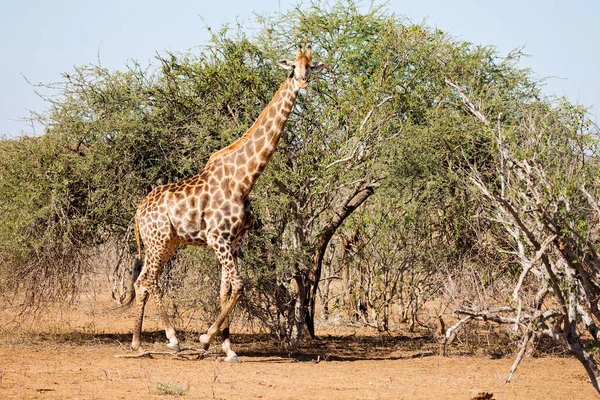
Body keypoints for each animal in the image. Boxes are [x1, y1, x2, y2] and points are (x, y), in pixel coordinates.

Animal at [127, 45, 324, 360]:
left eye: (311, 66)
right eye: (293, 66)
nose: (303, 82)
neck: (244, 179)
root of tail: (137, 212)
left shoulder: (233, 241)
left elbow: (225, 289)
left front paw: (228, 347)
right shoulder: (216, 238)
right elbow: (240, 286)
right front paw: (206, 339)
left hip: (168, 241)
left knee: (143, 281)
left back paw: (144, 342)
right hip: (158, 240)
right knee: (148, 280)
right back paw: (165, 340)